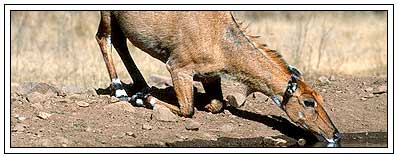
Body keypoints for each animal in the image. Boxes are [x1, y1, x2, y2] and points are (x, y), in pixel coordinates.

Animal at [95, 11, 340, 144]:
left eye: (321, 99)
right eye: (308, 102)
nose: (335, 135)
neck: (221, 39)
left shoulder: (211, 76)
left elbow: (218, 104)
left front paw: (207, 104)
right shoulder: (178, 67)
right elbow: (188, 110)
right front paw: (141, 99)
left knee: (120, 41)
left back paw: (142, 86)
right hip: (108, 14)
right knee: (104, 38)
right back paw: (121, 90)